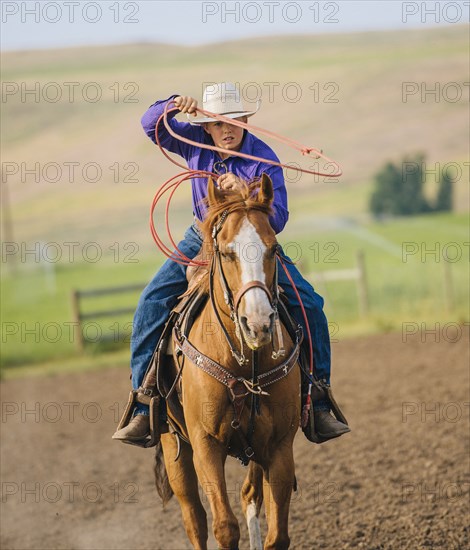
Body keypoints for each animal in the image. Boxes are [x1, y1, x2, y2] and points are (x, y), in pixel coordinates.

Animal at [154, 174, 302, 550]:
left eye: (273, 249)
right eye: (226, 251)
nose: (258, 323)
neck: (243, 367)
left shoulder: (280, 446)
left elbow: (277, 535)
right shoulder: (206, 444)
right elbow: (224, 527)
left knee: (250, 495)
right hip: (174, 445)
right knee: (194, 518)